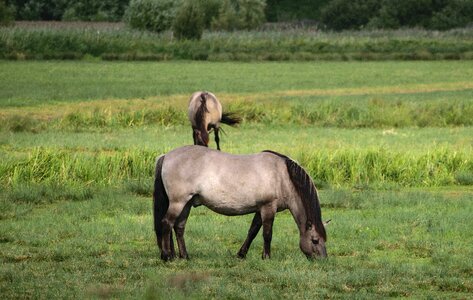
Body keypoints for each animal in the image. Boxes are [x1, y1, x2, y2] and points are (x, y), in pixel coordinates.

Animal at [152, 145, 328, 260]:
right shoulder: (268, 207)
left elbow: (253, 231)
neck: (282, 176)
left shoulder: (260, 209)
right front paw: (267, 257)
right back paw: (167, 256)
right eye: (315, 240)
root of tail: (166, 156)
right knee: (167, 223)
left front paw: (241, 254)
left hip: (186, 203)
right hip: (178, 202)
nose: (323, 260)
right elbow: (267, 233)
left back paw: (184, 256)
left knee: (179, 227)